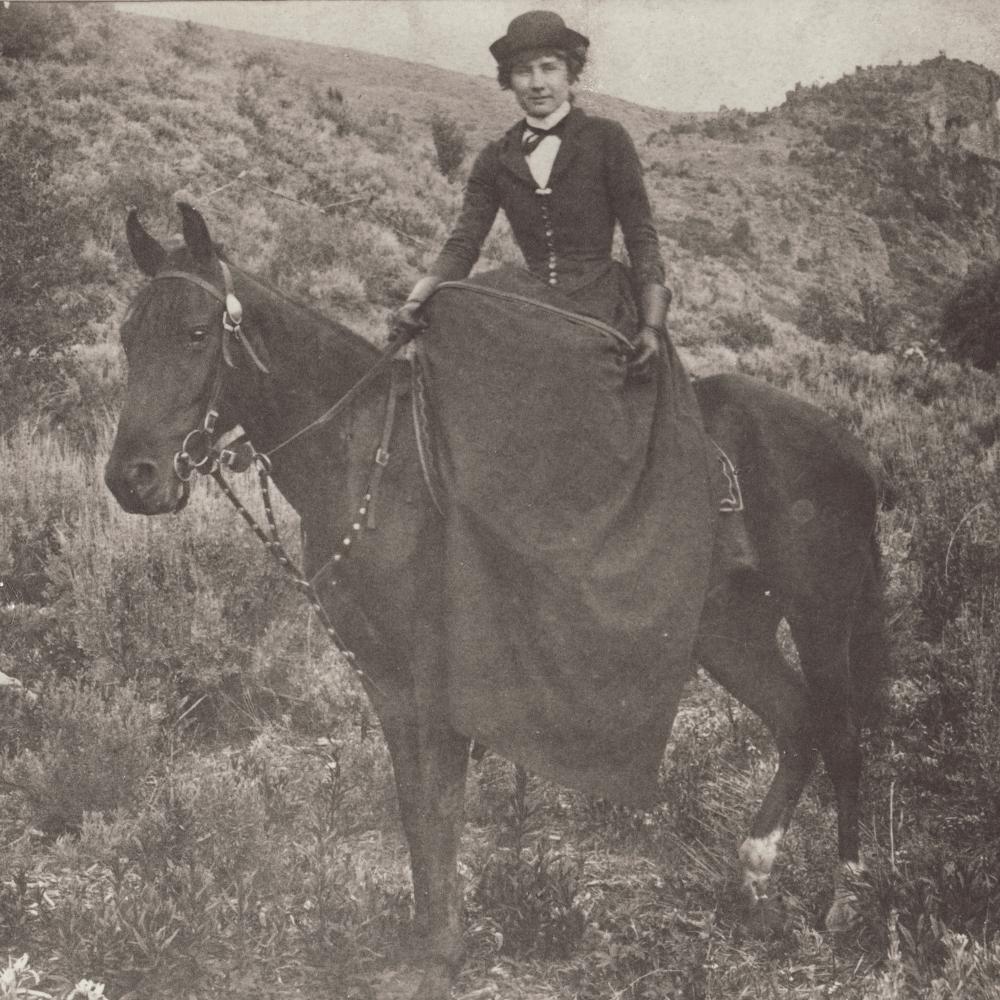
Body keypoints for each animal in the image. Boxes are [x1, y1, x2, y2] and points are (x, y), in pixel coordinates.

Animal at [105, 205, 888, 1000]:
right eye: (129, 336)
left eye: (196, 332)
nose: (131, 479)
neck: (372, 458)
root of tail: (854, 446)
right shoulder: (385, 681)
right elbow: (413, 809)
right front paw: (426, 939)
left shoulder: (440, 680)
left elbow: (441, 807)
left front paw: (443, 953)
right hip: (731, 631)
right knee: (796, 722)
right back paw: (753, 879)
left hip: (821, 613)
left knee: (841, 731)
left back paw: (845, 898)